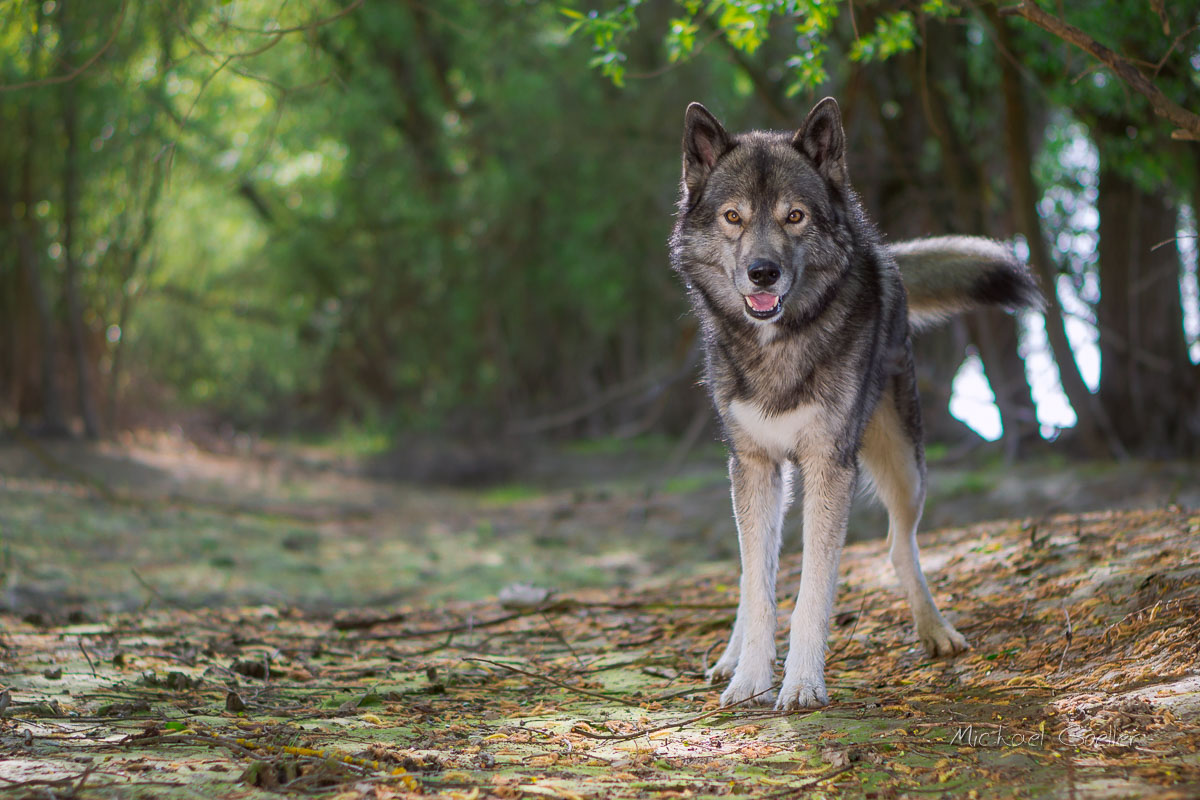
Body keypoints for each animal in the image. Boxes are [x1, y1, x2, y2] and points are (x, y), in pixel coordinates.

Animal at [672, 100, 1046, 714]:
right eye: (733, 217)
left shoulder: (830, 465)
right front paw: (748, 679)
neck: (778, 344)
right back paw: (730, 656)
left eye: (794, 216)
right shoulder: (752, 465)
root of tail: (884, 252)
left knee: (899, 546)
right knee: (758, 570)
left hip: (903, 466)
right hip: (775, 481)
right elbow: (758, 586)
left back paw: (935, 631)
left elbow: (812, 592)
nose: (762, 272)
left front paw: (801, 683)